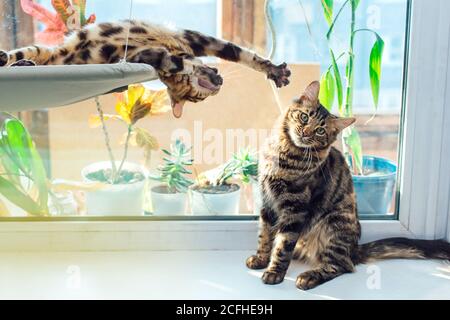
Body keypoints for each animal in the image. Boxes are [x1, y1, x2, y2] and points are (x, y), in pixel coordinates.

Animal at [246, 81, 450, 292]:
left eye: (320, 131)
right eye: (304, 117)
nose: (305, 132)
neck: (284, 154)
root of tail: (354, 249)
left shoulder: (295, 209)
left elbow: (283, 246)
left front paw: (274, 272)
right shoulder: (267, 202)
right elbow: (265, 236)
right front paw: (261, 259)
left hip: (334, 224)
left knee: (341, 266)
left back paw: (308, 277)